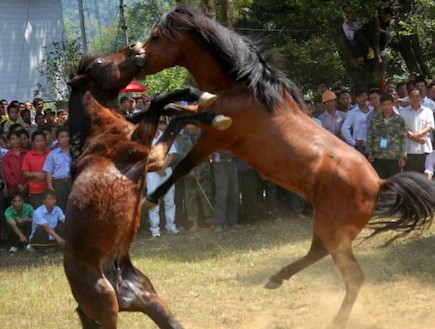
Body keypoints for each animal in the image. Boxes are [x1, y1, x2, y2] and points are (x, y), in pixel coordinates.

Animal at [65, 42, 230, 326]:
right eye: (99, 63)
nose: (134, 47)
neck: (99, 131)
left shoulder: (154, 158)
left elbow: (173, 116)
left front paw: (207, 108)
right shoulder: (145, 151)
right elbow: (159, 101)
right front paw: (203, 101)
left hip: (151, 301)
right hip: (106, 306)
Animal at [140, 4, 435, 326]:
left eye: (156, 37)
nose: (138, 59)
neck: (243, 89)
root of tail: (379, 182)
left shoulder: (216, 138)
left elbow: (181, 145)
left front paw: (152, 180)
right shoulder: (204, 120)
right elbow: (171, 105)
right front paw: (144, 136)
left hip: (334, 228)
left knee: (352, 275)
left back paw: (334, 319)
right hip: (329, 226)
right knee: (318, 252)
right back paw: (276, 278)